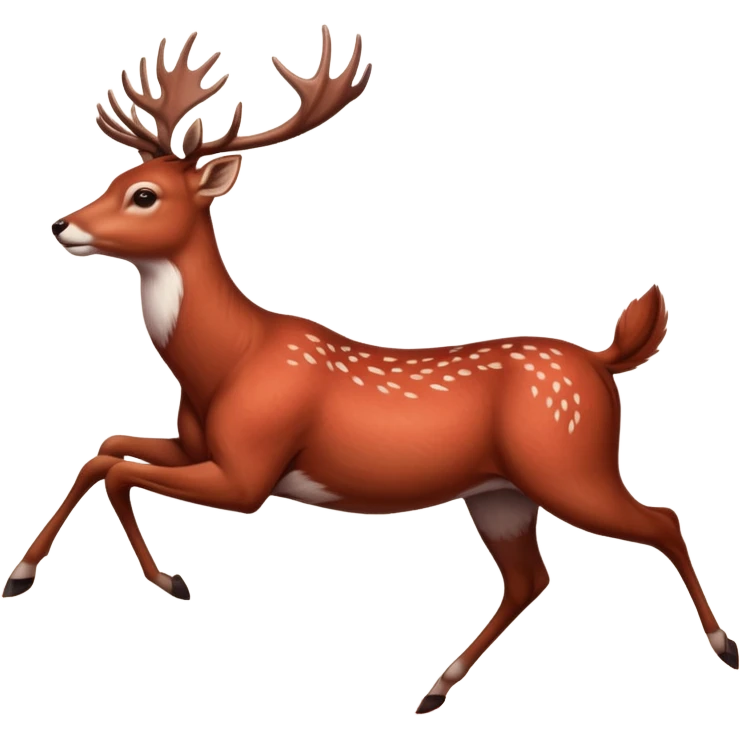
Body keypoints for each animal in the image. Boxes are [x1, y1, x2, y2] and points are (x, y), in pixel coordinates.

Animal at [5, 22, 735, 717]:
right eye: (115, 179)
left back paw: (724, 646)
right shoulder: (196, 443)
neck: (226, 363)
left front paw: (169, 581)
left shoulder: (250, 472)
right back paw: (433, 691)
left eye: (144, 195)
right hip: (499, 491)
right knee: (531, 577)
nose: (62, 223)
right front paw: (22, 573)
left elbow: (120, 471)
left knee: (661, 519)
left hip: (569, 462)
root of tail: (602, 360)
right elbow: (103, 452)